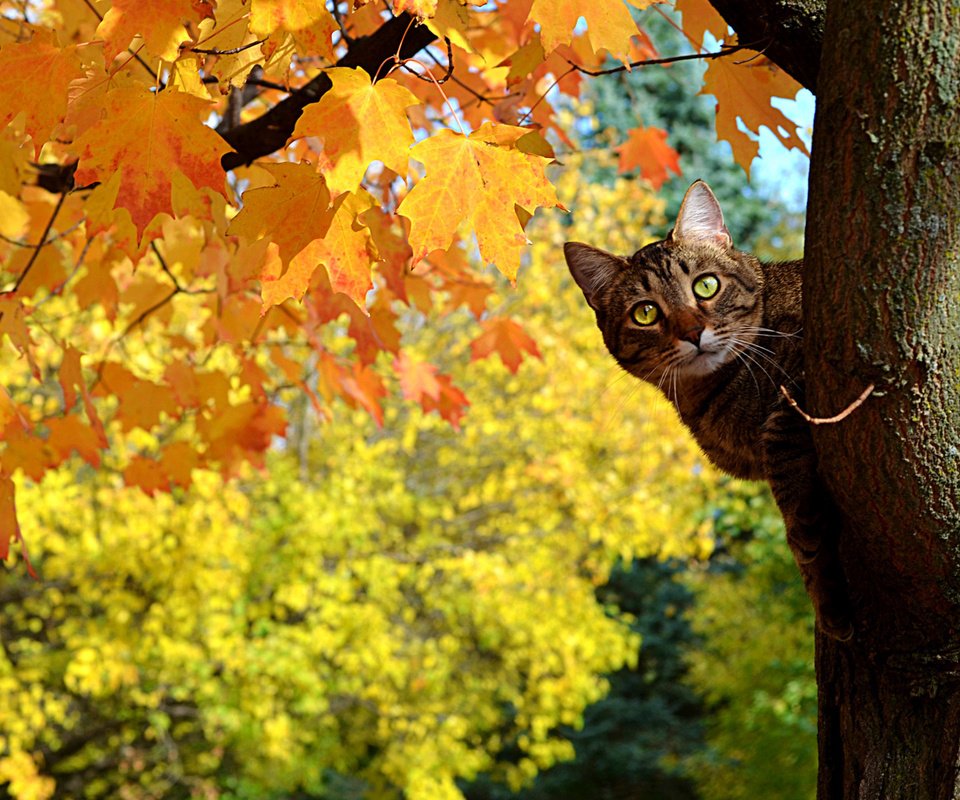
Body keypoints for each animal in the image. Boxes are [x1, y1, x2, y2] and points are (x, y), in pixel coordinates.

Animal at [568, 183, 852, 644]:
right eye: (645, 312)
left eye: (706, 286)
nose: (692, 333)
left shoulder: (800, 376)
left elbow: (785, 459)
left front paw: (821, 581)